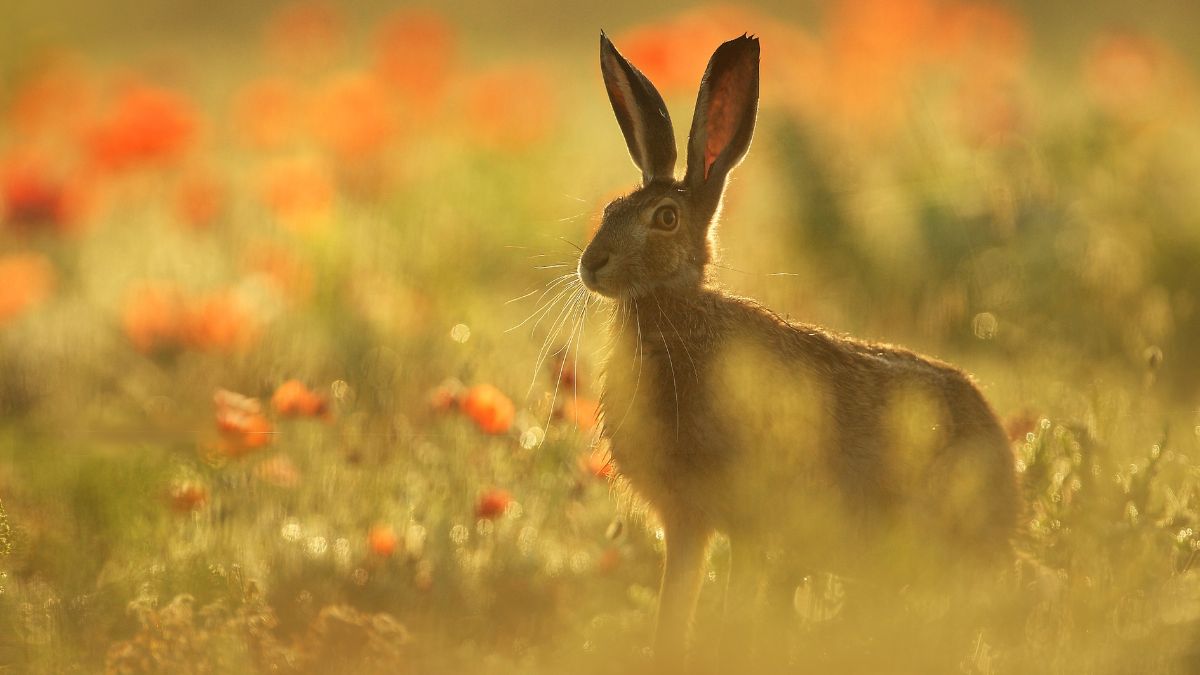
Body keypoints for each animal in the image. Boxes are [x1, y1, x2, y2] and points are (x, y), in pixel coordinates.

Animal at [580, 32, 1020, 664]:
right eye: (611, 209)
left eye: (665, 218)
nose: (592, 264)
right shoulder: (687, 520)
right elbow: (675, 609)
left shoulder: (745, 520)